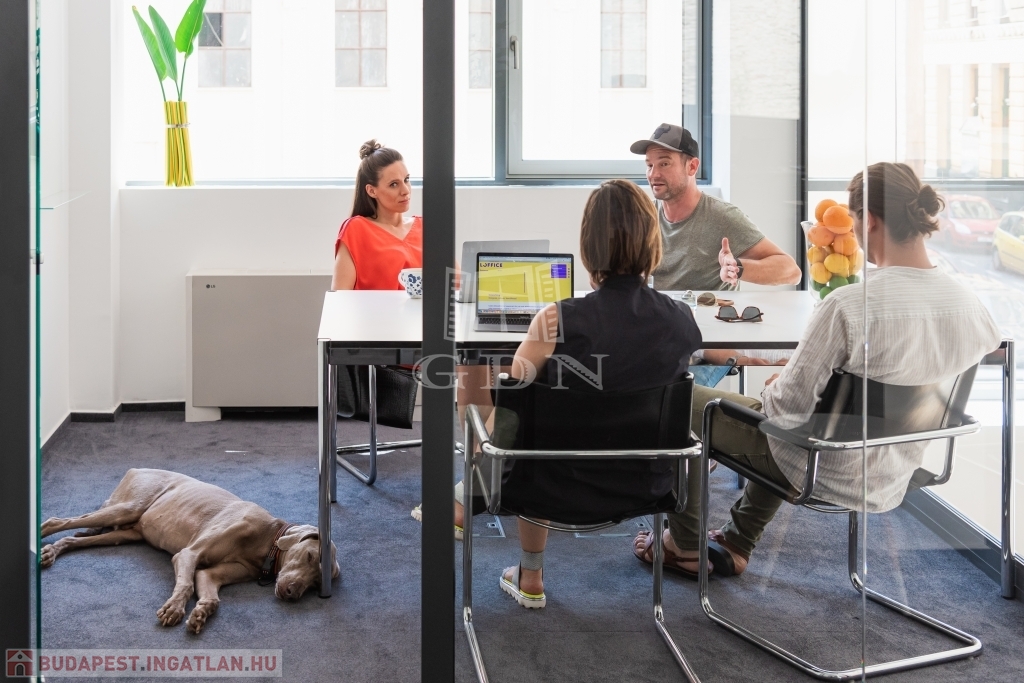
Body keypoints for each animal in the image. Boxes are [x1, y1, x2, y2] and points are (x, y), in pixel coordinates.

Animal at [40, 468, 340, 634]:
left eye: (316, 584)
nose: (291, 594)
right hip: (127, 507)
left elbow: (208, 590)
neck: (265, 541)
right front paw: (174, 608)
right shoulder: (188, 554)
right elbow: (185, 583)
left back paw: (52, 552)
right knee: (57, 521)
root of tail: (136, 468)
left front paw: (201, 612)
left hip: (123, 533)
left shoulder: (212, 574)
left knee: (74, 539)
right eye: (310, 556)